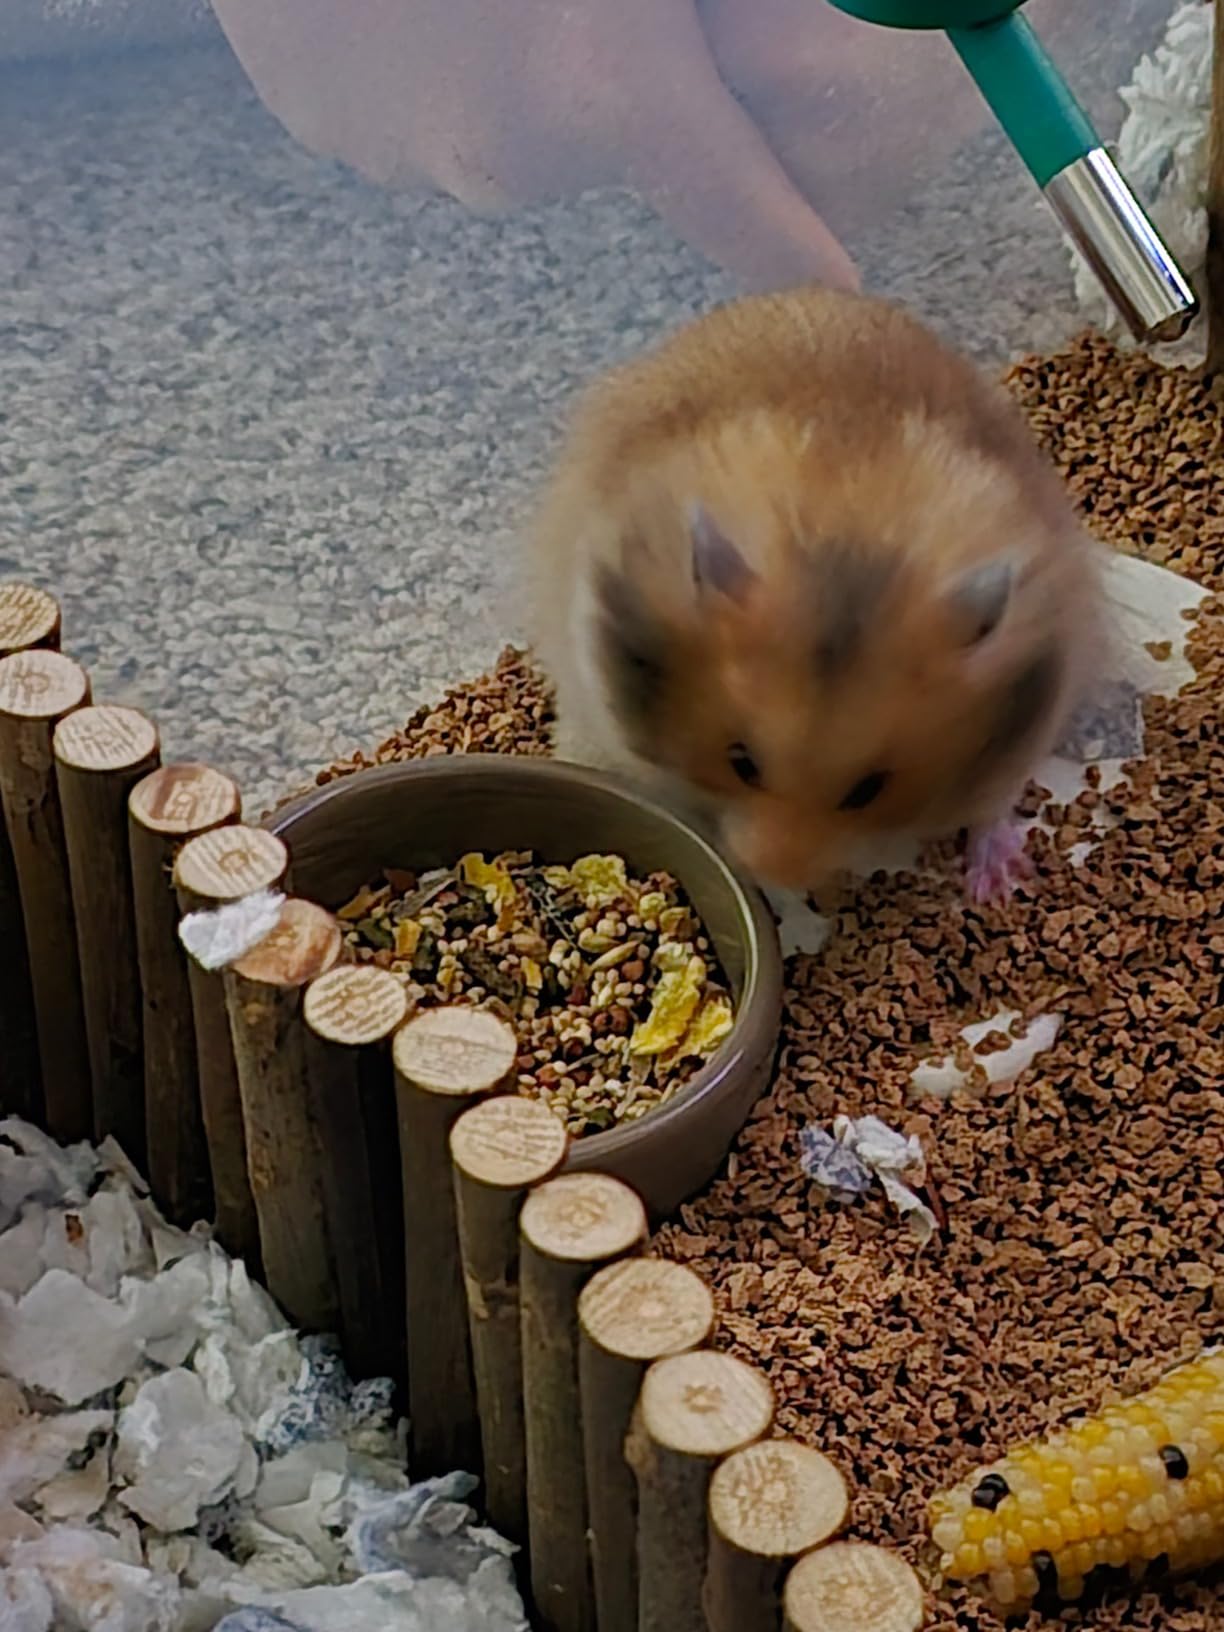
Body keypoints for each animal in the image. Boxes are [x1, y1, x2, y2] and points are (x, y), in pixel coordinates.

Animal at [526, 286, 1102, 904]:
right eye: (741, 762)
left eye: (868, 790)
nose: (778, 877)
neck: (843, 550)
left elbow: (993, 805)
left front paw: (995, 886)